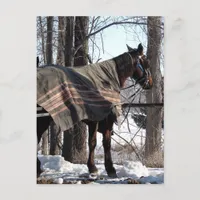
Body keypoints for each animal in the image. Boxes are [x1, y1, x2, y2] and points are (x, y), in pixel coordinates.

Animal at [36, 43, 152, 177]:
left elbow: (97, 142)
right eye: (146, 62)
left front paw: (98, 167)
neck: (106, 79)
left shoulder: (95, 120)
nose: (150, 83)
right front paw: (103, 168)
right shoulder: (102, 118)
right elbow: (100, 142)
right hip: (43, 119)